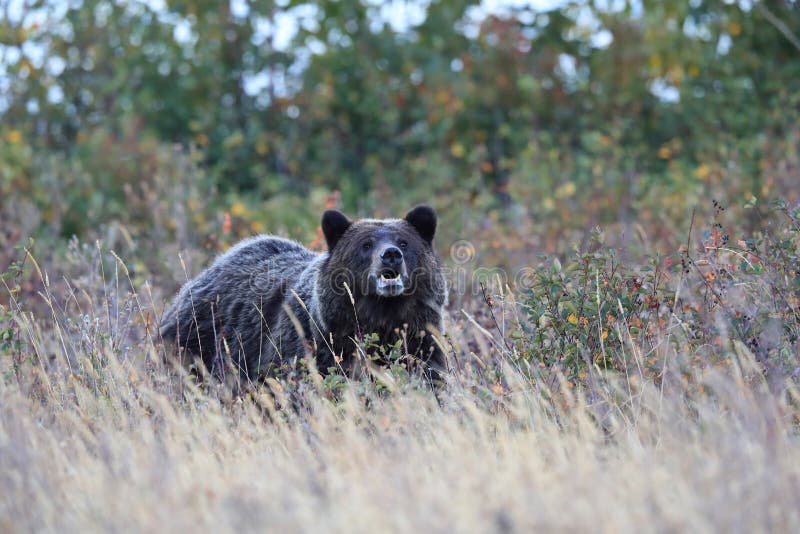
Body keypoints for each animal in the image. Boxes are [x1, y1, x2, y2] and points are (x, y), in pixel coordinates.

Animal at [159, 205, 446, 386]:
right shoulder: (319, 343)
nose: (391, 255)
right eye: (366, 245)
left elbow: (430, 377)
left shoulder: (422, 339)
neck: (383, 315)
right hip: (198, 342)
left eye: (404, 242)